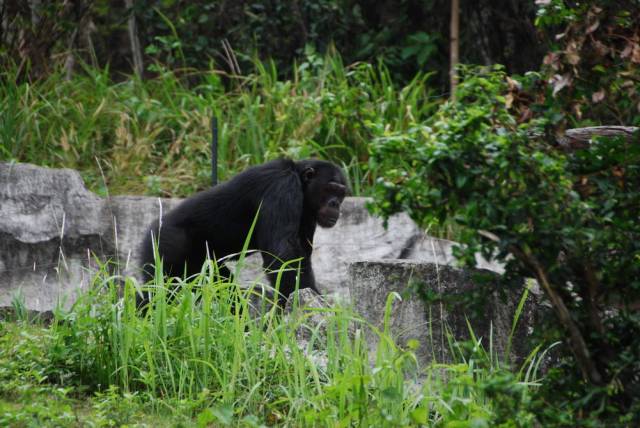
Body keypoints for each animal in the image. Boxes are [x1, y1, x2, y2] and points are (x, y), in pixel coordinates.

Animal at [139, 159, 348, 306]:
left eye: (341, 193)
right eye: (330, 188)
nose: (335, 204)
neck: (301, 184)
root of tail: (154, 226)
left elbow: (300, 255)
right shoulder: (282, 186)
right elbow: (282, 254)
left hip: (204, 266)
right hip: (166, 246)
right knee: (160, 292)